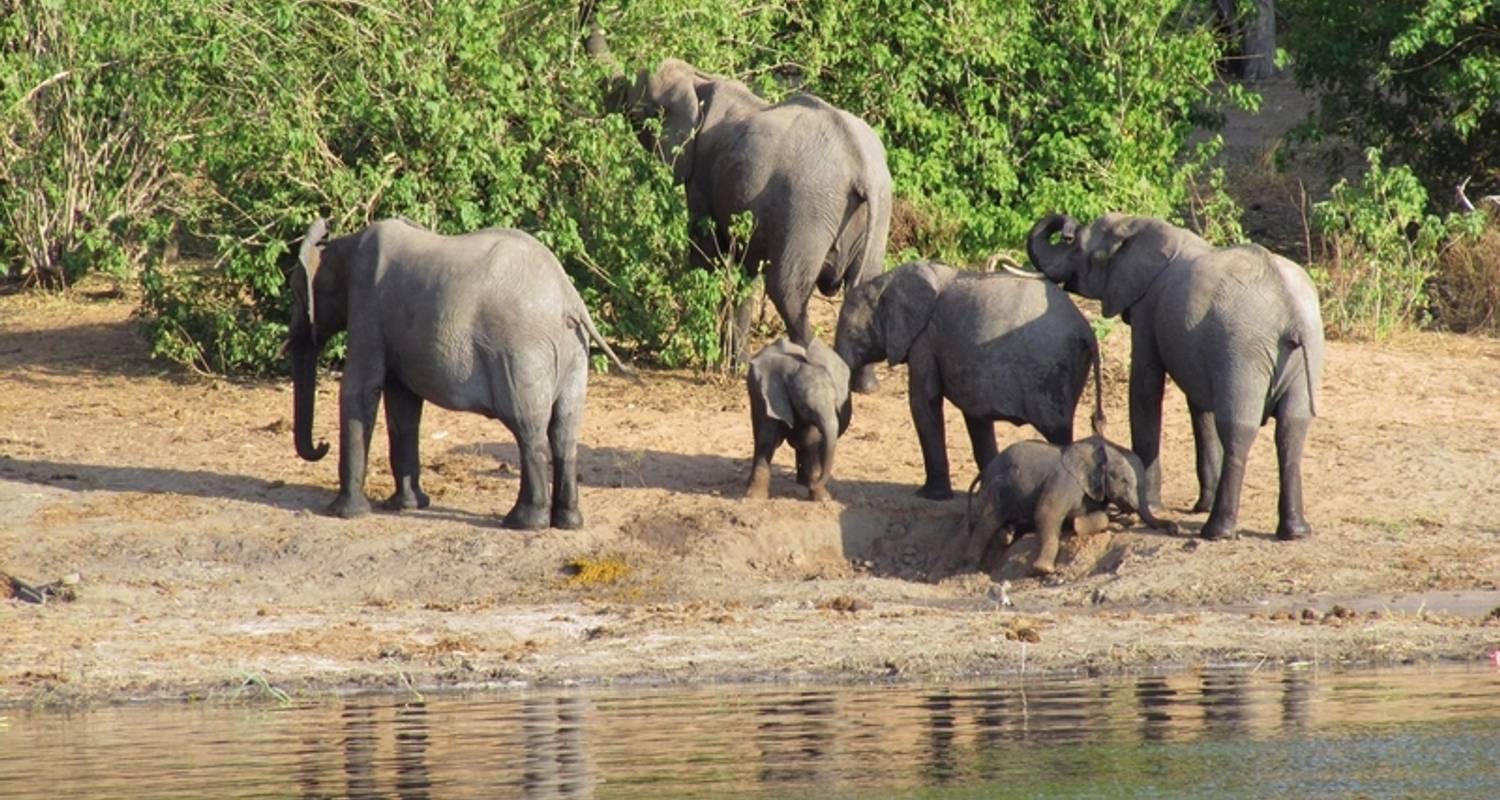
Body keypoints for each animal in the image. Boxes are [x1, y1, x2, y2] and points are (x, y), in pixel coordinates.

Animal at [289, 217, 630, 531]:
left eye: (296, 294)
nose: (322, 444)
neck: (343, 244)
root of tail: (569, 300)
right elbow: (403, 403)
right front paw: (406, 506)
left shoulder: (367, 306)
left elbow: (360, 389)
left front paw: (344, 513)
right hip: (574, 352)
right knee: (563, 430)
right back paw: (567, 522)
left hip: (522, 354)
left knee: (528, 429)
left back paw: (523, 523)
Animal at [744, 334, 852, 498]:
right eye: (805, 407)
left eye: (836, 403)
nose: (815, 485)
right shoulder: (769, 398)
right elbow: (767, 440)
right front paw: (754, 497)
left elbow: (810, 440)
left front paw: (822, 497)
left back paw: (803, 482)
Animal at [834, 262, 1104, 498]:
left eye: (852, 333)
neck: (886, 281)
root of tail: (1087, 331)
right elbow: (976, 416)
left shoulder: (925, 340)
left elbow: (923, 403)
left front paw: (930, 496)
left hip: (1052, 373)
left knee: (1058, 434)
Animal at [966, 435, 1176, 573]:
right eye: (1125, 481)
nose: (1174, 528)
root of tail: (986, 469)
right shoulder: (1065, 480)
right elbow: (1046, 512)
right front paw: (1042, 569)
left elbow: (1101, 515)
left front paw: (1075, 523)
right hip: (999, 486)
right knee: (989, 520)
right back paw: (973, 564)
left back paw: (1007, 536)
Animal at [1020, 211, 1326, 540]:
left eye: (1077, 247)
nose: (1066, 227)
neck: (1142, 227)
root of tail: (1290, 313)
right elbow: (1199, 406)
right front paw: (1200, 505)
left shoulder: (1147, 308)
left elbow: (1145, 387)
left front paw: (1153, 505)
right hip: (1301, 350)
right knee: (1292, 428)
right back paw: (1295, 532)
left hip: (1244, 352)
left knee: (1238, 430)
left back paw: (1216, 532)